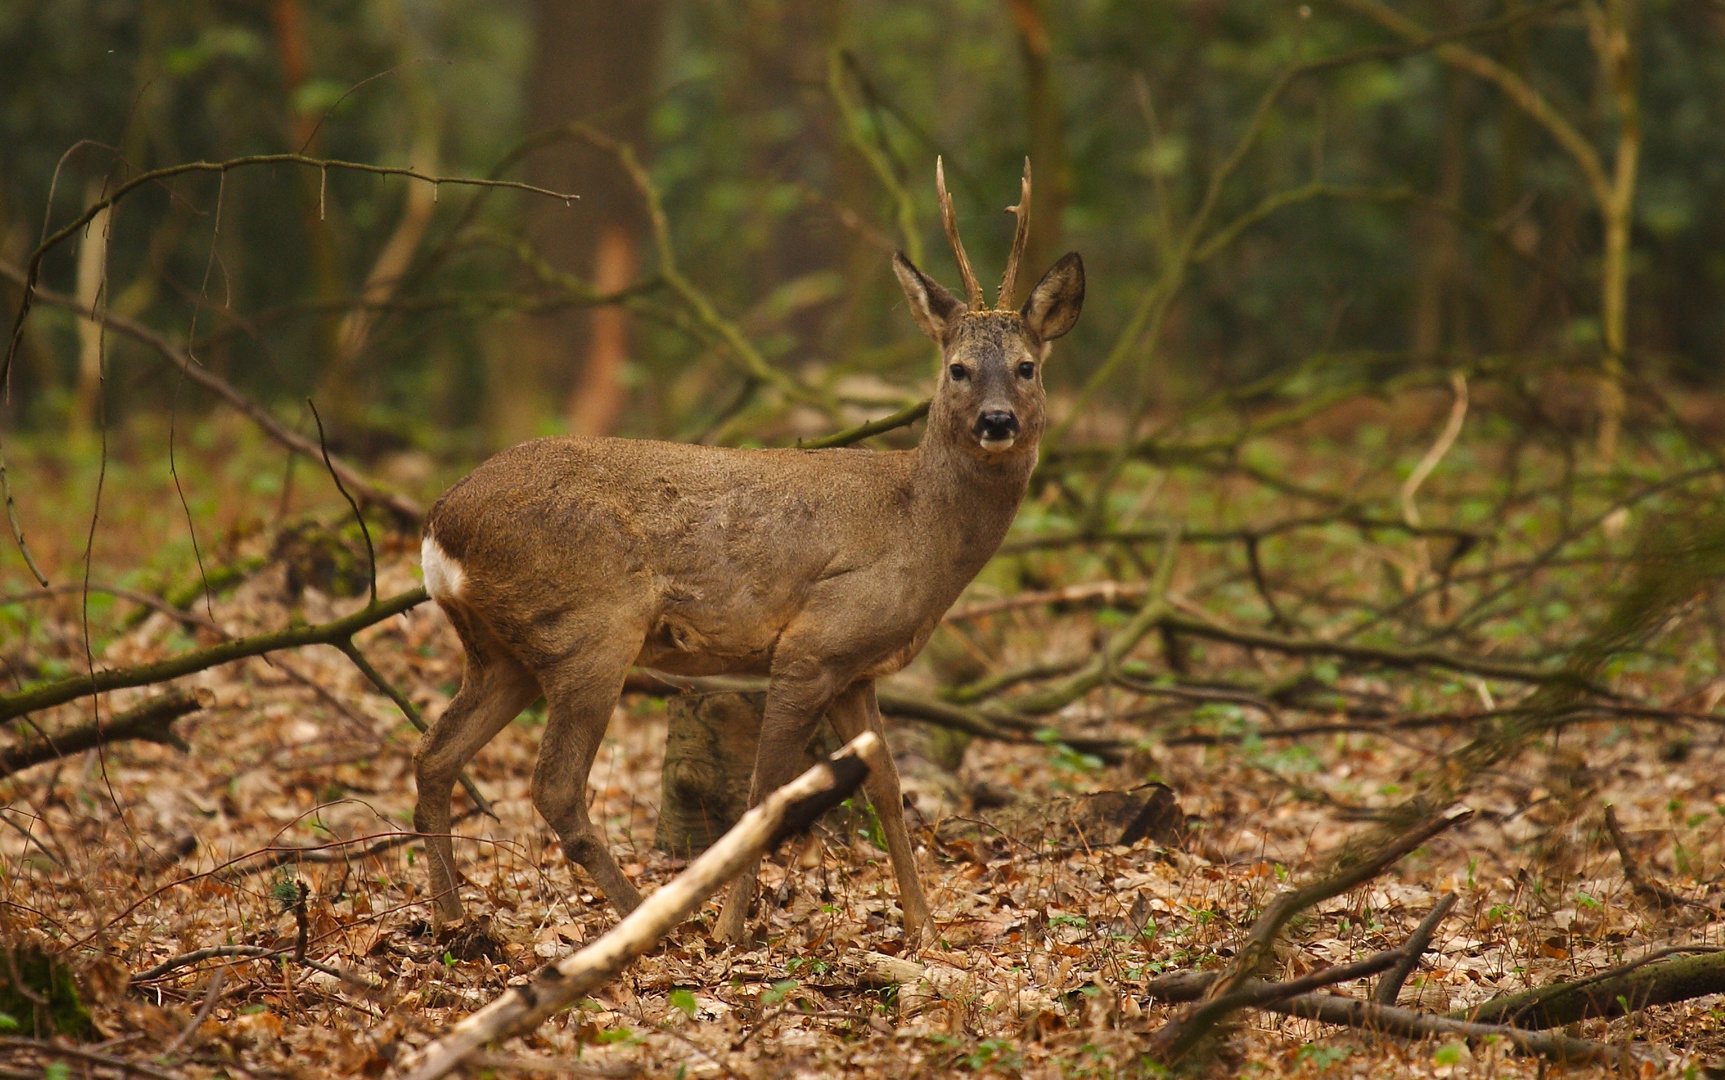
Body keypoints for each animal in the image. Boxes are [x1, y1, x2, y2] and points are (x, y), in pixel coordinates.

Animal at [414, 159, 1076, 938]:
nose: (997, 422)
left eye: (1028, 366)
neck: (918, 526)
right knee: (554, 786)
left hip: (502, 650)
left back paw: (452, 920)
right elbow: (766, 793)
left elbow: (886, 787)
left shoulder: (856, 671)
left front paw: (921, 926)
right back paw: (648, 924)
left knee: (435, 755)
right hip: (591, 627)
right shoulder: (813, 645)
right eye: (958, 369)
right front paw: (732, 929)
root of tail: (440, 523)